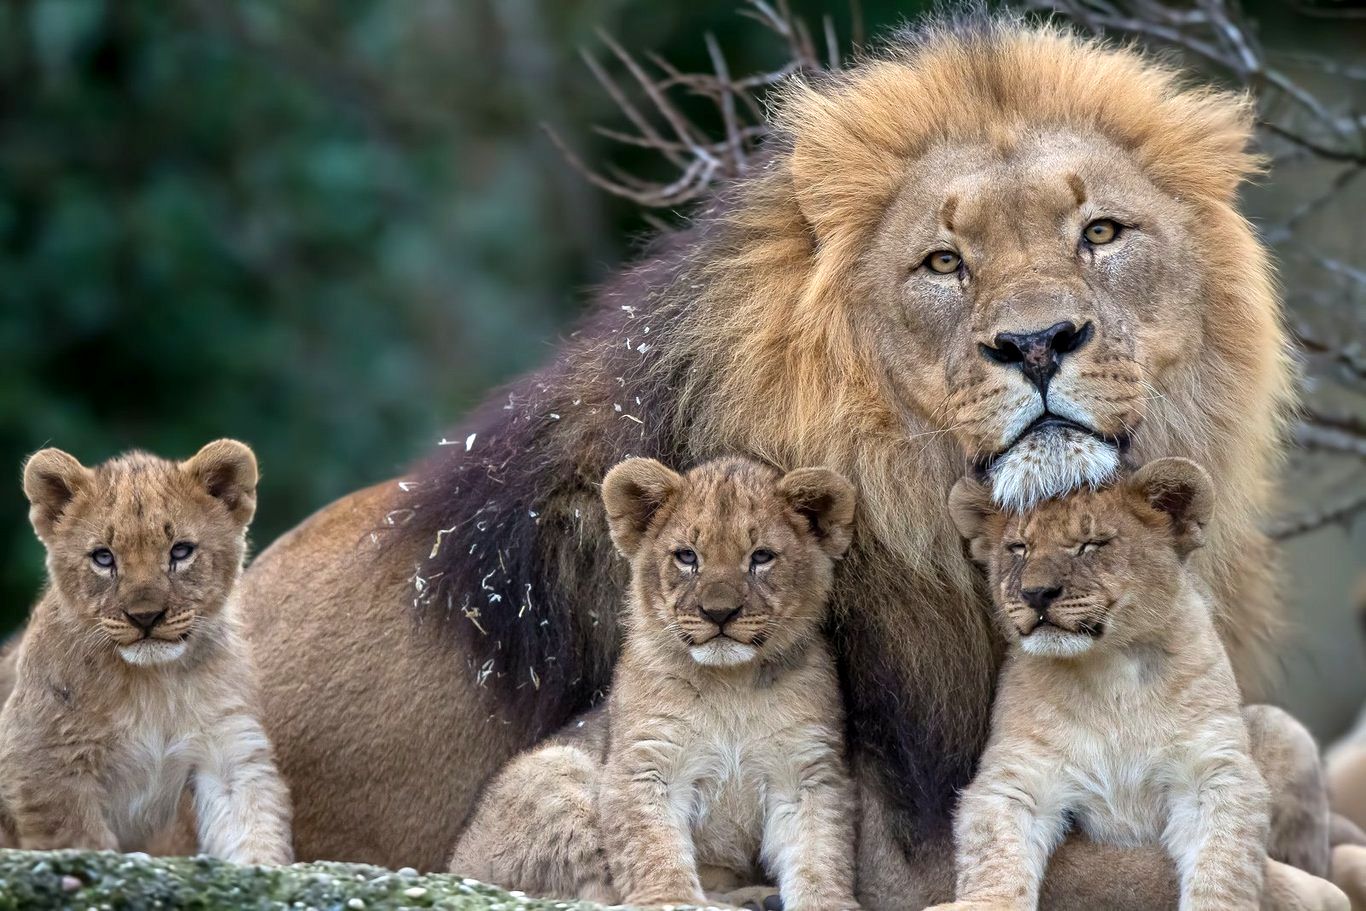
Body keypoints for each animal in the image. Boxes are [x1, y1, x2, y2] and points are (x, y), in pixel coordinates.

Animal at [243, 16, 1300, 911]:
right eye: (944, 262)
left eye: (1102, 233)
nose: (1038, 343)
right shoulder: (912, 838)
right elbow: (1241, 876)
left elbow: (1278, 757)